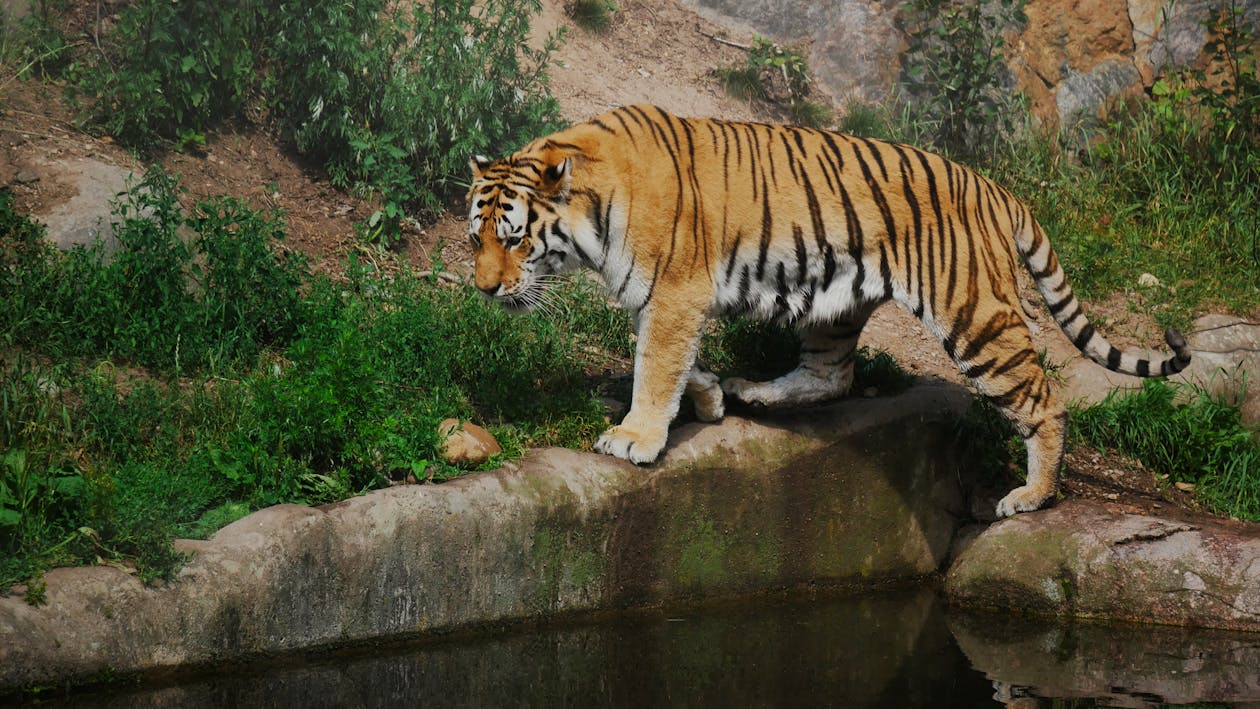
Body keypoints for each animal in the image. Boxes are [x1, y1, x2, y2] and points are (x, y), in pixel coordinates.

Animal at [466, 103, 1189, 516]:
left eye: (515, 239)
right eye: (477, 239)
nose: (484, 290)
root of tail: (993, 186)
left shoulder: (676, 291)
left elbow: (656, 363)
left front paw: (635, 437)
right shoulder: (671, 299)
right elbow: (670, 361)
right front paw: (707, 396)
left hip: (975, 315)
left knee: (1043, 401)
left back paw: (1032, 497)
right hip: (834, 305)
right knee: (832, 375)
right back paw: (752, 391)